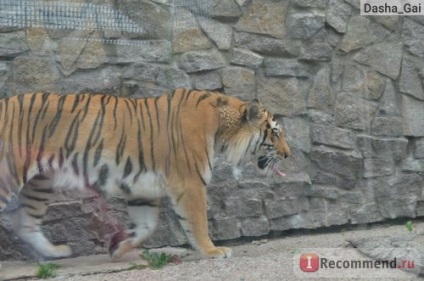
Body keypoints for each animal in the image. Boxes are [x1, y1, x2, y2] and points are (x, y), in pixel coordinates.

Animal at [0, 88, 290, 260]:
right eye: (275, 133)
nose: (288, 154)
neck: (220, 129)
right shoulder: (190, 183)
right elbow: (198, 222)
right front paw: (212, 250)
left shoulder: (141, 188)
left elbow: (146, 226)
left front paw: (117, 248)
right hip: (8, 177)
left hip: (40, 183)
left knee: (25, 223)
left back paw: (56, 252)